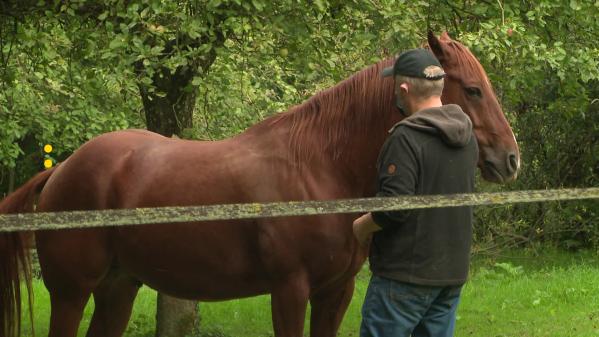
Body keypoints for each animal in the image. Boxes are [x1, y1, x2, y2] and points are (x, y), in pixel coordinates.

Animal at [1, 31, 520, 336]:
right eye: (473, 89)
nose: (510, 159)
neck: (319, 170)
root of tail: (62, 170)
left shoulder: (336, 293)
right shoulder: (289, 290)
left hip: (118, 288)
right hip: (72, 292)